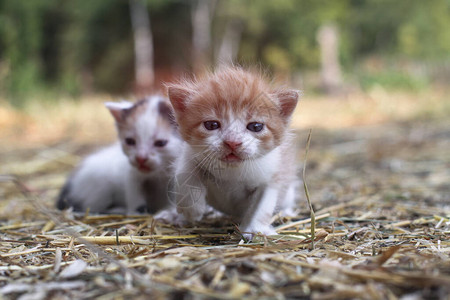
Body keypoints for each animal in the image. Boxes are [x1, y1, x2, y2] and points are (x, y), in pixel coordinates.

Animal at [165, 67, 298, 238]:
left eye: (256, 126)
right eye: (211, 125)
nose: (232, 142)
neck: (232, 171)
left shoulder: (274, 172)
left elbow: (263, 205)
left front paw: (255, 229)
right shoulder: (190, 152)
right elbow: (185, 169)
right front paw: (191, 209)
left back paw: (287, 212)